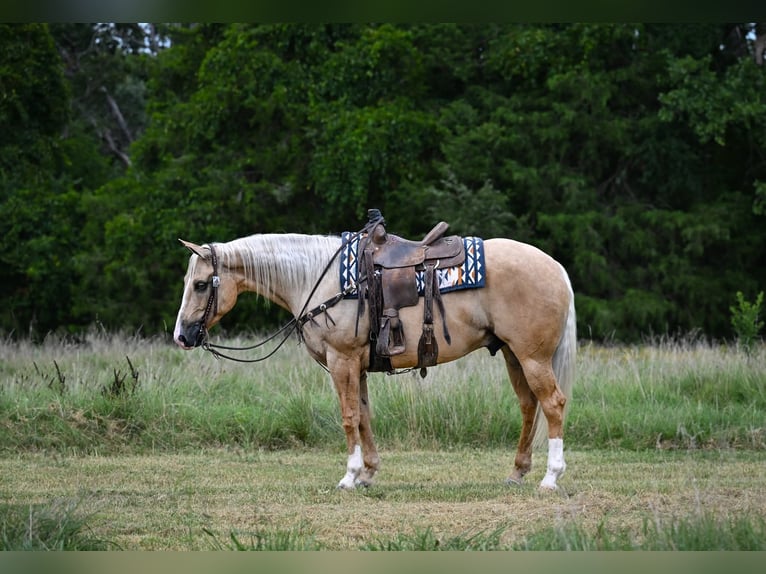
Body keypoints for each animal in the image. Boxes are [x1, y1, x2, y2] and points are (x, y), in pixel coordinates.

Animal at [172, 223, 576, 491]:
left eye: (201, 284)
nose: (182, 336)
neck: (320, 280)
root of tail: (555, 267)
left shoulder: (342, 360)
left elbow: (349, 417)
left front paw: (349, 476)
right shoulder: (359, 366)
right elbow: (364, 416)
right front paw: (367, 473)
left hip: (532, 357)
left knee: (553, 403)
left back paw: (550, 477)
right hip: (513, 354)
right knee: (529, 405)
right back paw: (518, 472)